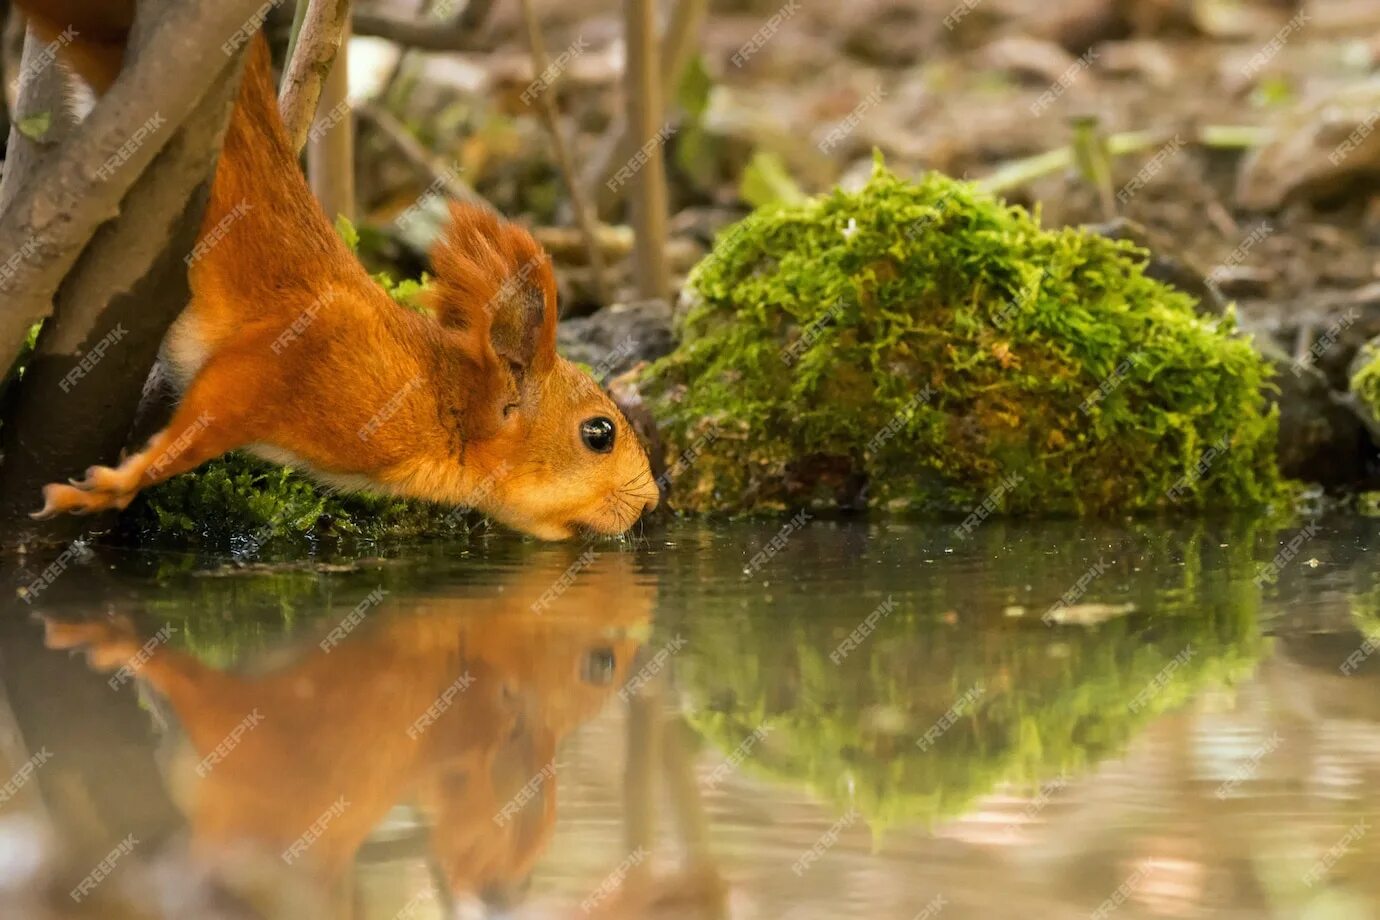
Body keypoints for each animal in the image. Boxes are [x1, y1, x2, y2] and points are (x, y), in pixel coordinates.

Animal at [17, 3, 656, 543]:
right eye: (599, 433)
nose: (650, 503)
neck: (435, 397)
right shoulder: (296, 362)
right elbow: (202, 422)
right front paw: (115, 485)